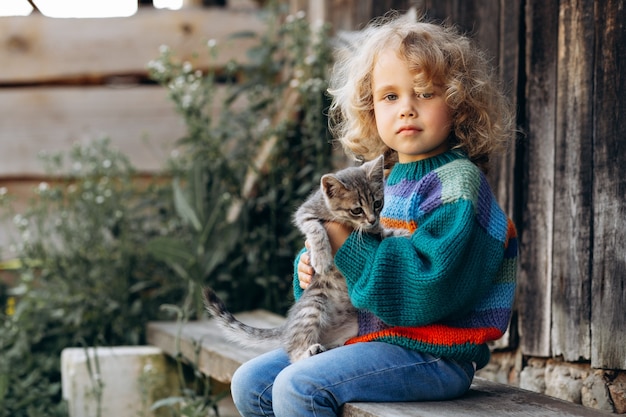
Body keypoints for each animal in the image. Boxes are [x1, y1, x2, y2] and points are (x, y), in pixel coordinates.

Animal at [204, 154, 390, 362]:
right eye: (356, 210)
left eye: (377, 203)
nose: (372, 220)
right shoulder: (305, 212)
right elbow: (316, 229)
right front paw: (321, 257)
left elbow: (379, 235)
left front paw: (388, 231)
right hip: (313, 304)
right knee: (294, 352)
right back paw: (309, 350)